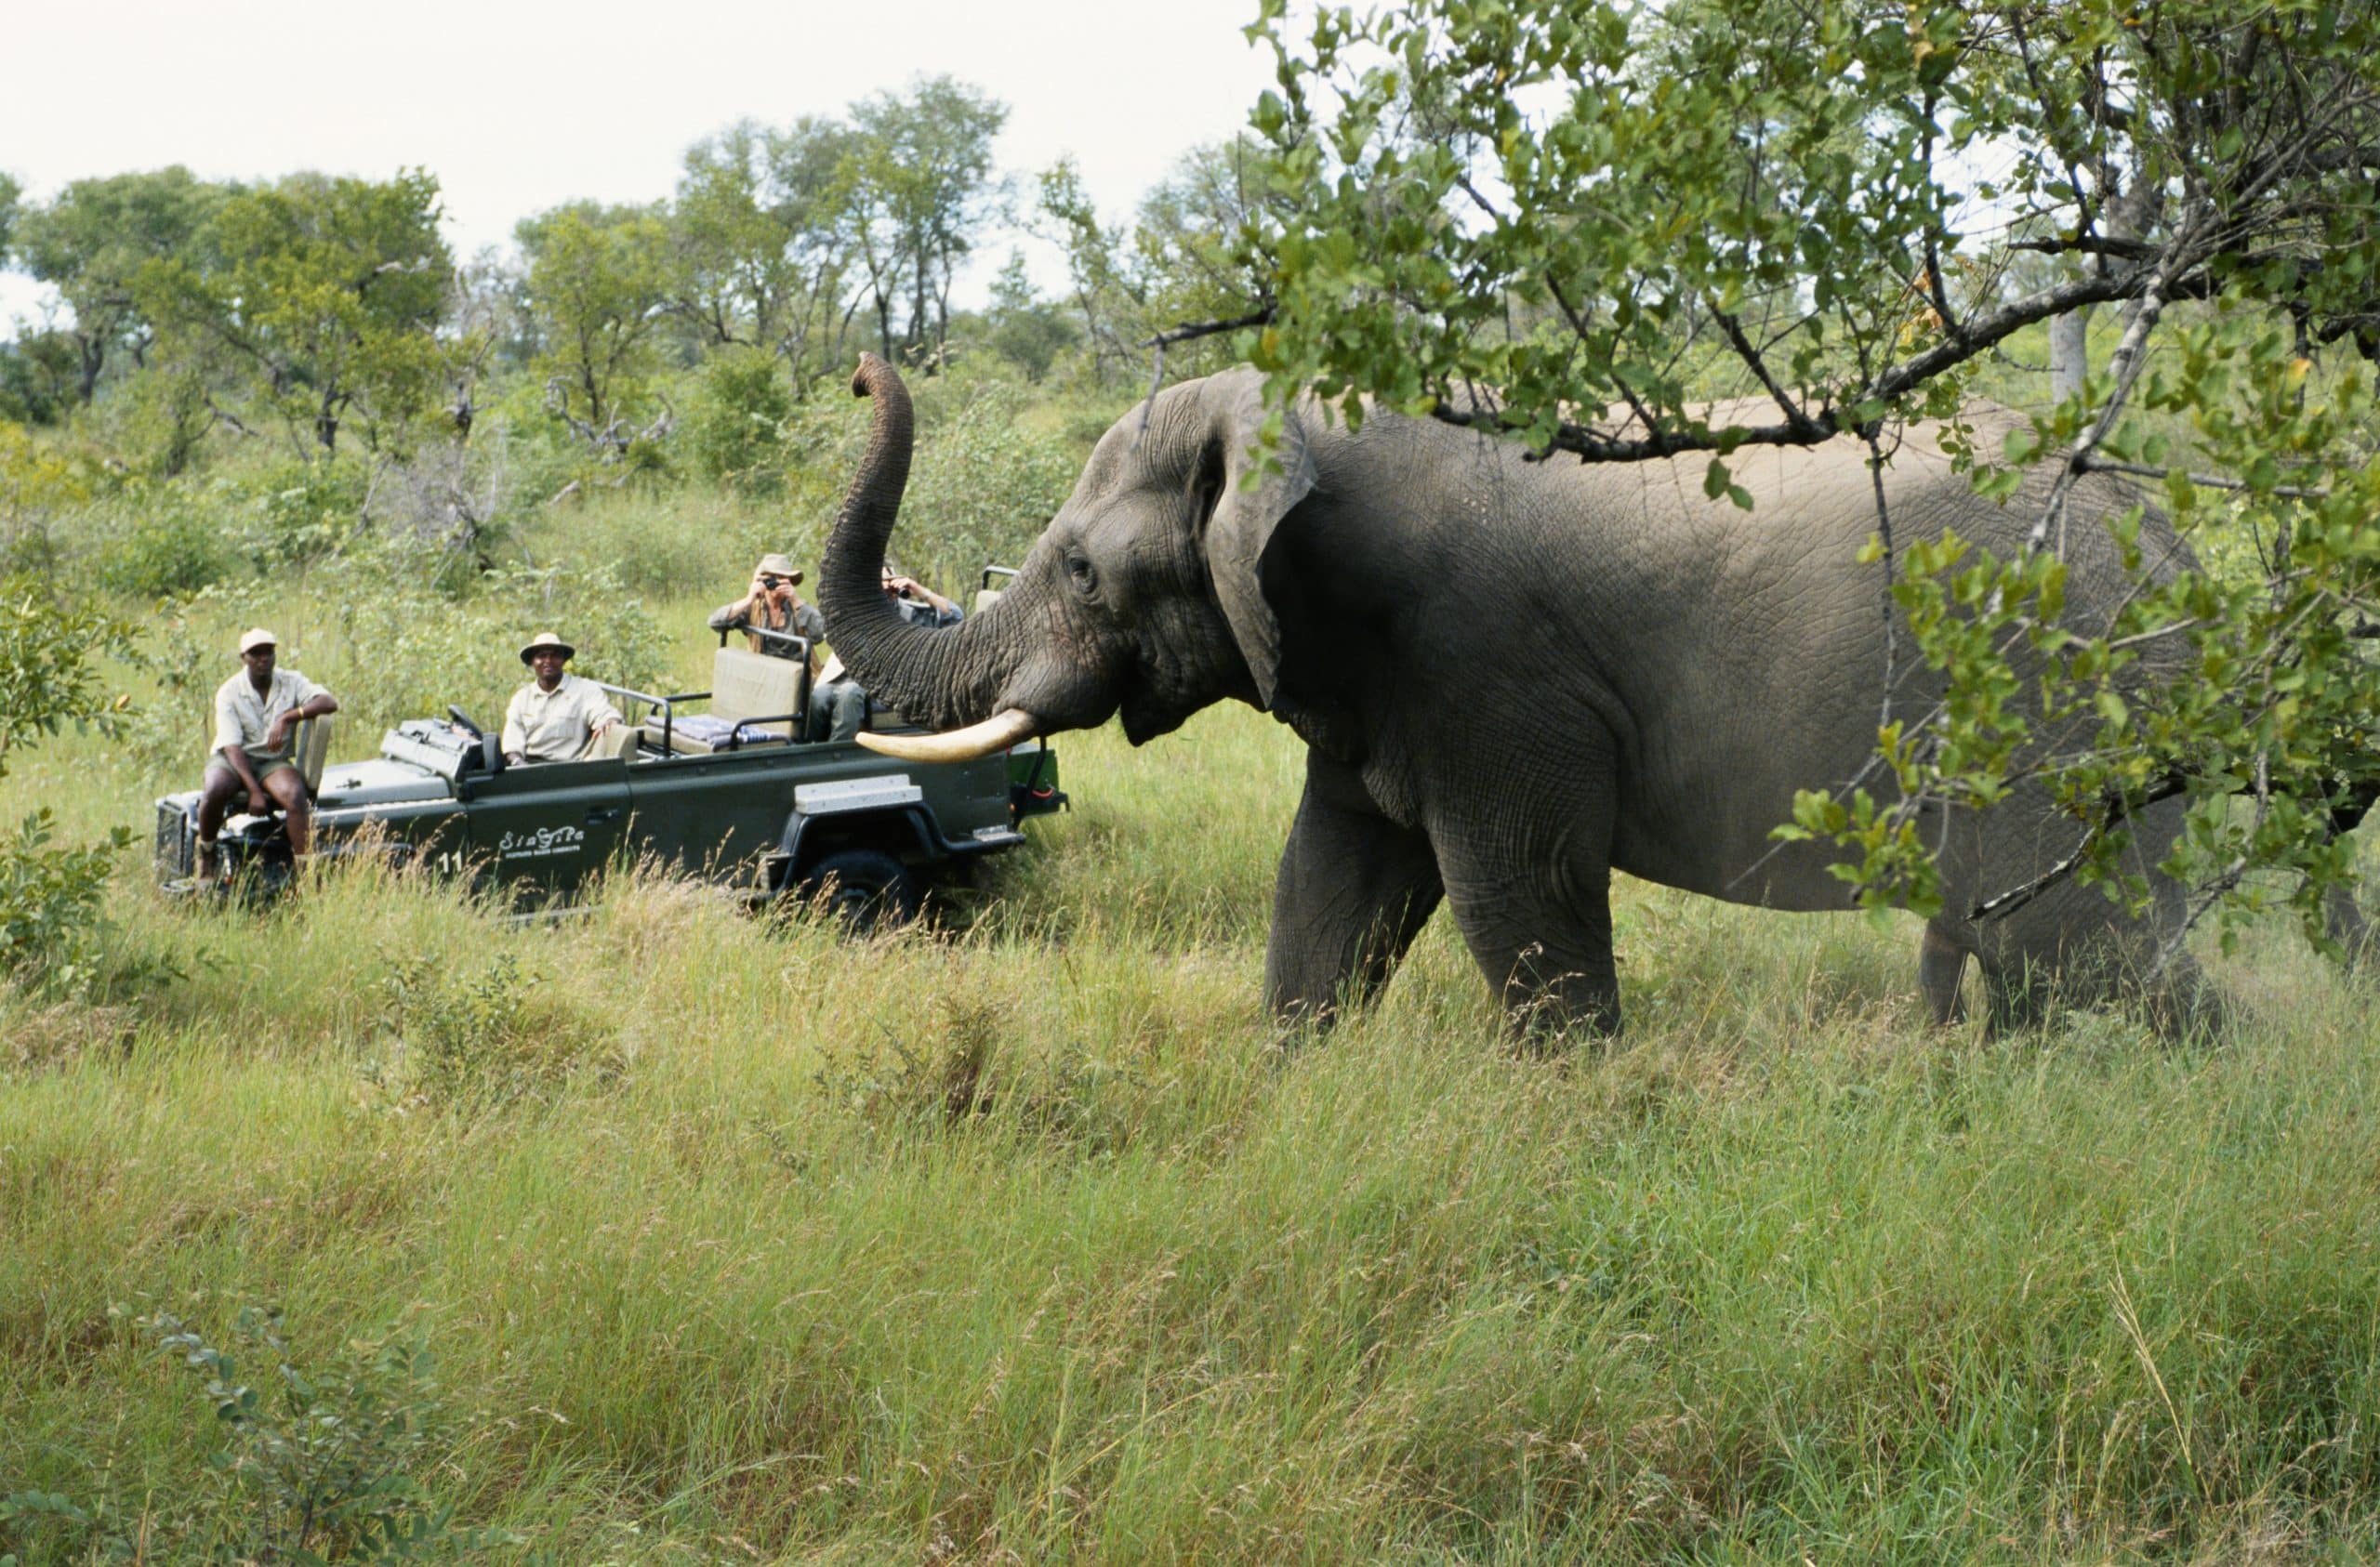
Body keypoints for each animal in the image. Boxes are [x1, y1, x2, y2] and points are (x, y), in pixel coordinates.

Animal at [816, 353, 2278, 1037]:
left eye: (1079, 568)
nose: (862, 368)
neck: (1298, 410)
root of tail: (2181, 549)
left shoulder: (1483, 664)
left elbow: (1516, 894)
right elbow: (1328, 884)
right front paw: (1288, 1092)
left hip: (2063, 710)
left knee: (2076, 950)